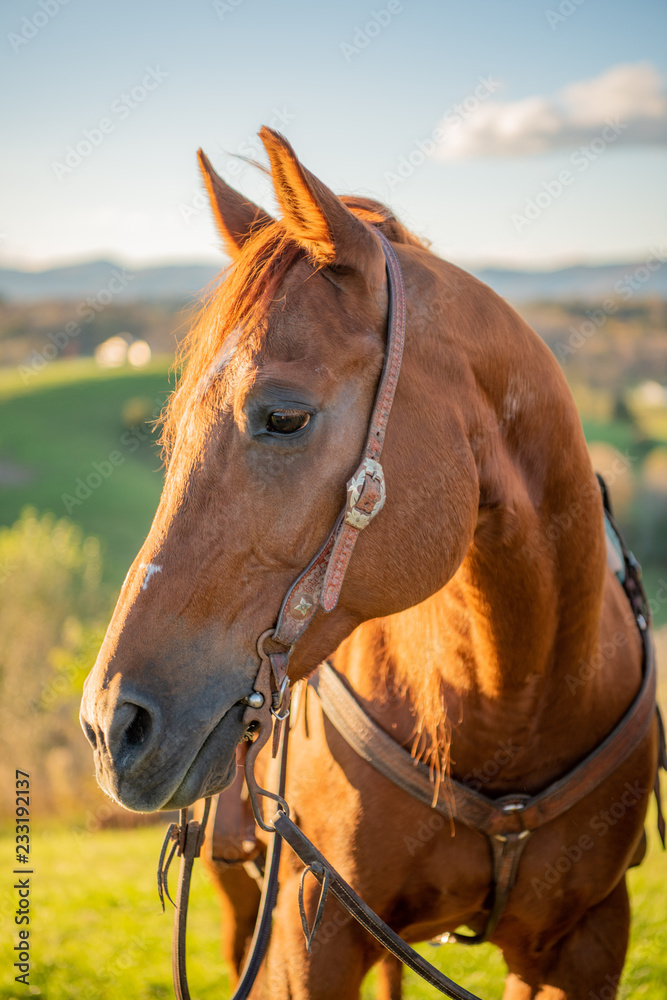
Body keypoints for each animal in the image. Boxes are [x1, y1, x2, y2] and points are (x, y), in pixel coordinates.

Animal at [80, 127, 662, 1000]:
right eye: (173, 427)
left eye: (284, 417)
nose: (110, 722)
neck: (513, 700)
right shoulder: (306, 930)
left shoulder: (584, 938)